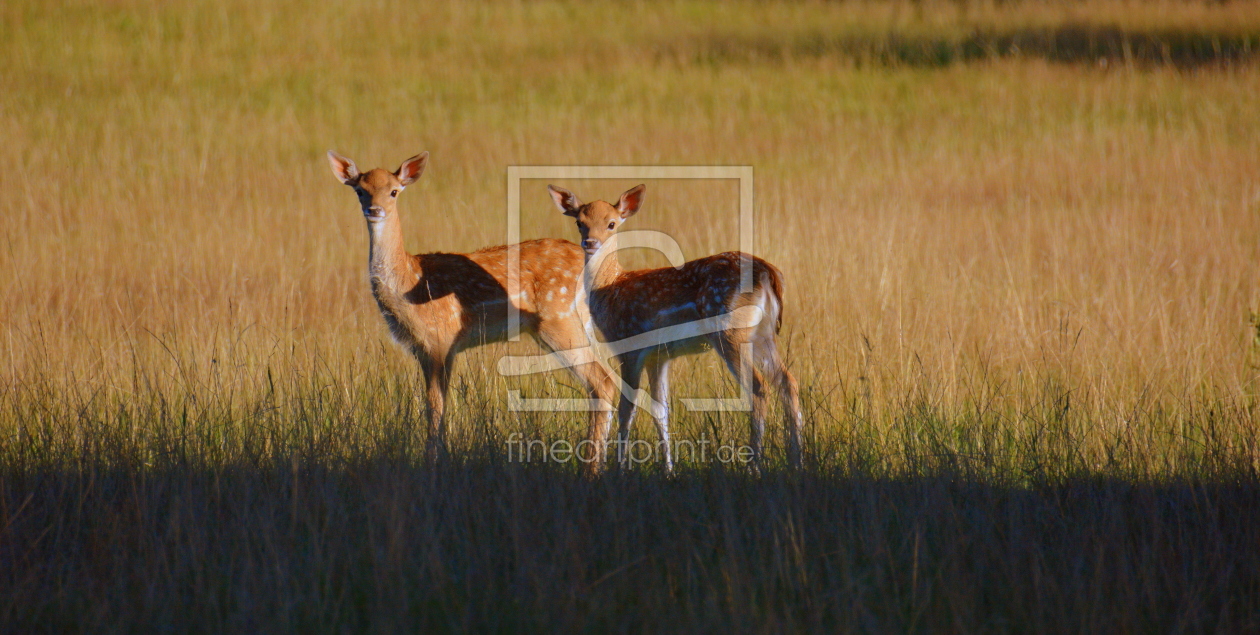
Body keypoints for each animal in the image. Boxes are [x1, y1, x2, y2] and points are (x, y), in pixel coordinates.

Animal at [330, 152, 614, 471]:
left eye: (393, 191)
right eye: (360, 190)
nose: (374, 210)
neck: (407, 280)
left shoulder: (440, 339)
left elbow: (435, 406)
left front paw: (432, 465)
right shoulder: (422, 348)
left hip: (558, 319)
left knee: (602, 381)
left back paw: (591, 470)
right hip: (578, 323)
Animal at [546, 183, 801, 471]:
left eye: (611, 223)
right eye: (580, 222)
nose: (590, 242)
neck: (610, 287)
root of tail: (770, 274)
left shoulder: (628, 345)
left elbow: (627, 408)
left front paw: (620, 468)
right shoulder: (659, 355)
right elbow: (661, 409)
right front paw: (668, 469)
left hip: (729, 332)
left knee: (758, 388)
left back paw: (754, 465)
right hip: (762, 334)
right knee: (788, 382)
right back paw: (797, 461)